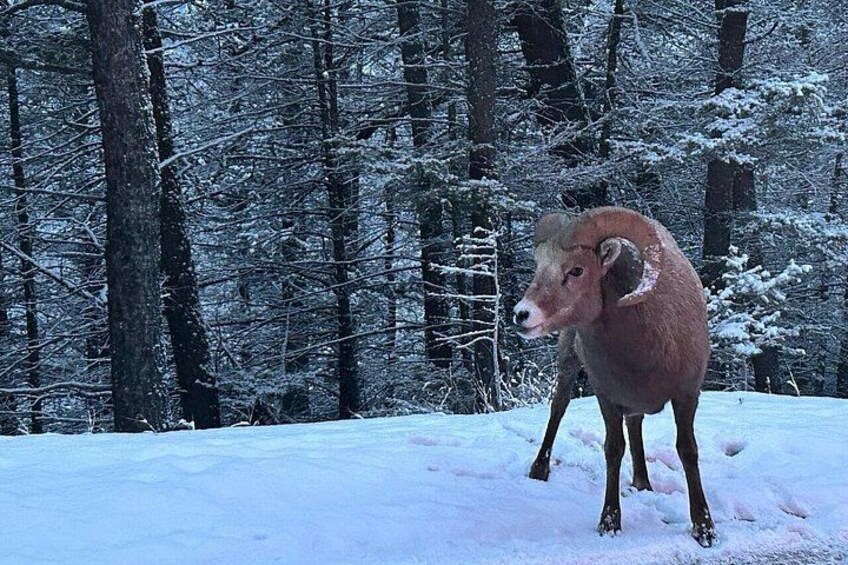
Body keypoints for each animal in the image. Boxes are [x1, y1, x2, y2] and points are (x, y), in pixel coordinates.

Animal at [513, 206, 715, 547]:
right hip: (568, 361)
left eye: (577, 270)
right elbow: (613, 449)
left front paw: (704, 529)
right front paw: (609, 522)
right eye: (539, 265)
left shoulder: (687, 395)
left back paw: (643, 483)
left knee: (635, 425)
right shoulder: (606, 396)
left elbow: (687, 450)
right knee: (559, 406)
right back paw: (539, 470)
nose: (521, 314)